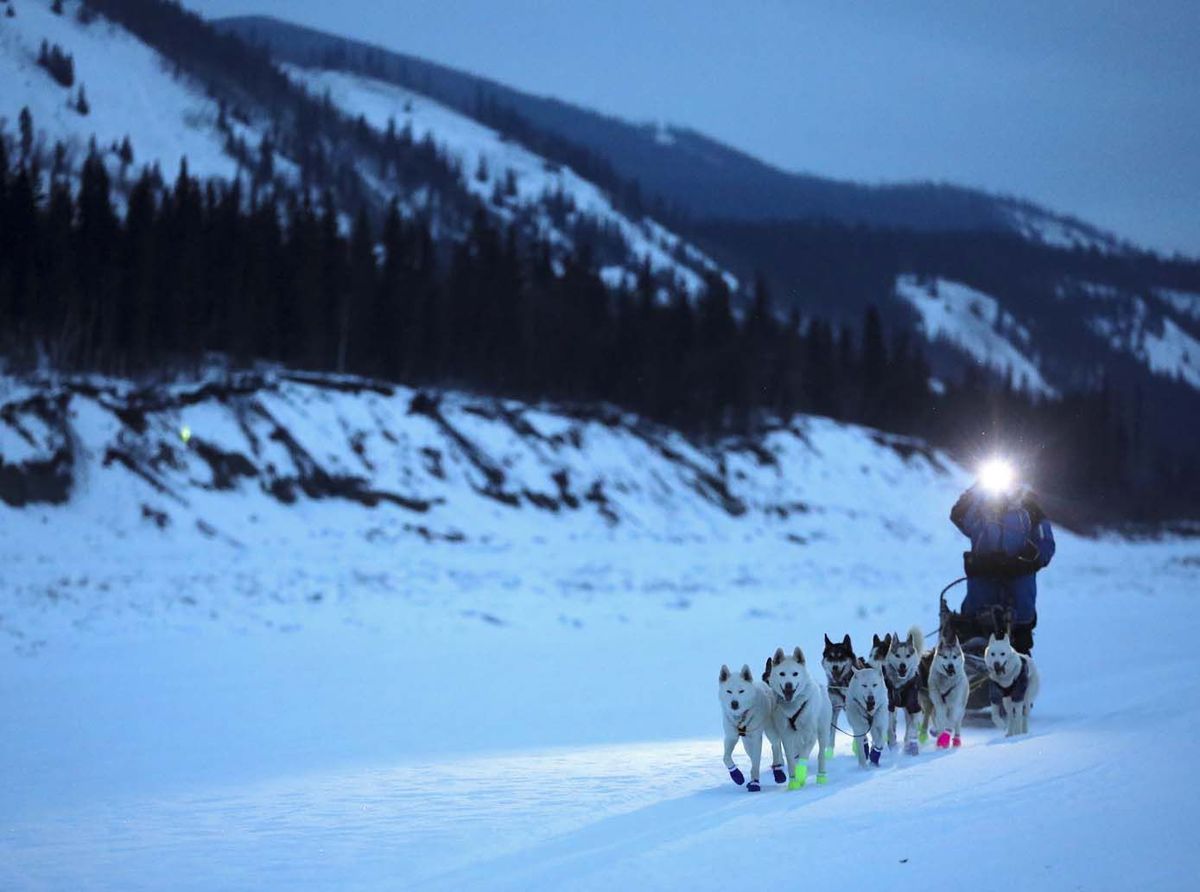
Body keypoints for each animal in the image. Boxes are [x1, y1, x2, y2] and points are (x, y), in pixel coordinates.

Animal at [710, 662, 787, 797]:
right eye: (729, 691)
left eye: (741, 691)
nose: (734, 703)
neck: (741, 718)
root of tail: (766, 684)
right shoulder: (731, 736)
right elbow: (726, 758)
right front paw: (737, 776)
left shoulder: (756, 739)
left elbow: (756, 764)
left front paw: (755, 783)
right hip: (746, 742)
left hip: (770, 729)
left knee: (776, 745)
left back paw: (778, 771)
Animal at [763, 648, 830, 787]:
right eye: (782, 674)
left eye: (795, 673)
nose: (788, 685)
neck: (793, 707)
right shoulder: (786, 735)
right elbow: (790, 758)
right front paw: (793, 780)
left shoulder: (811, 735)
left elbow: (804, 755)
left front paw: (800, 774)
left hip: (823, 732)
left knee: (821, 754)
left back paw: (821, 776)